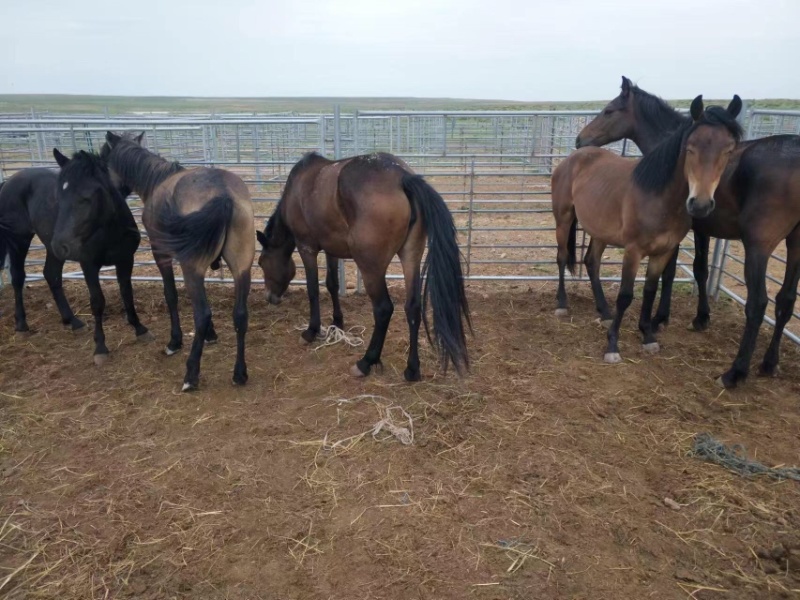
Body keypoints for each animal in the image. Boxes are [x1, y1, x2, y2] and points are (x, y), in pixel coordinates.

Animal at [0, 150, 152, 362]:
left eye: (86, 197)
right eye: (59, 197)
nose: (61, 244)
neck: (108, 232)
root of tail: (9, 181)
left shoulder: (125, 260)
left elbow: (127, 293)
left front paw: (139, 329)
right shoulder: (88, 265)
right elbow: (97, 302)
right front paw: (100, 347)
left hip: (51, 250)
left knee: (51, 275)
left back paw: (73, 321)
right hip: (19, 240)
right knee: (18, 277)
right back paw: (21, 325)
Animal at [98, 132, 255, 391]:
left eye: (102, 160)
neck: (157, 181)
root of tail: (223, 194)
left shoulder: (161, 253)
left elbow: (171, 294)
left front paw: (175, 341)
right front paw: (212, 335)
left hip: (191, 266)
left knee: (202, 314)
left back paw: (191, 375)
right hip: (242, 267)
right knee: (240, 315)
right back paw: (239, 373)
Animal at [256, 151, 470, 382]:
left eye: (260, 263)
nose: (269, 297)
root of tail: (402, 177)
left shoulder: (307, 248)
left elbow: (313, 289)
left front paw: (311, 331)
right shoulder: (331, 248)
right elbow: (332, 284)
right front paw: (337, 322)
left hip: (371, 268)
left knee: (384, 309)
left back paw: (366, 361)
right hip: (411, 256)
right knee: (412, 307)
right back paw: (412, 369)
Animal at [552, 96, 743, 363]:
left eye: (728, 150)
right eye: (690, 148)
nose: (701, 204)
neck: (660, 196)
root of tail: (573, 156)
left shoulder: (663, 252)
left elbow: (651, 290)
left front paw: (648, 334)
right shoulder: (633, 251)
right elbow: (626, 295)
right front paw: (613, 345)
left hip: (600, 230)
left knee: (591, 262)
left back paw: (605, 311)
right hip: (564, 218)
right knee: (561, 257)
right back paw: (562, 303)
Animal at [577, 77, 800, 388]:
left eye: (609, 110)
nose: (580, 140)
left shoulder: (688, 231)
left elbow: (675, 273)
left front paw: (662, 318)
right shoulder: (700, 228)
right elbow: (698, 270)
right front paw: (697, 318)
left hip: (759, 245)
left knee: (757, 304)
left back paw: (735, 372)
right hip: (795, 242)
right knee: (785, 300)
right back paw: (769, 362)